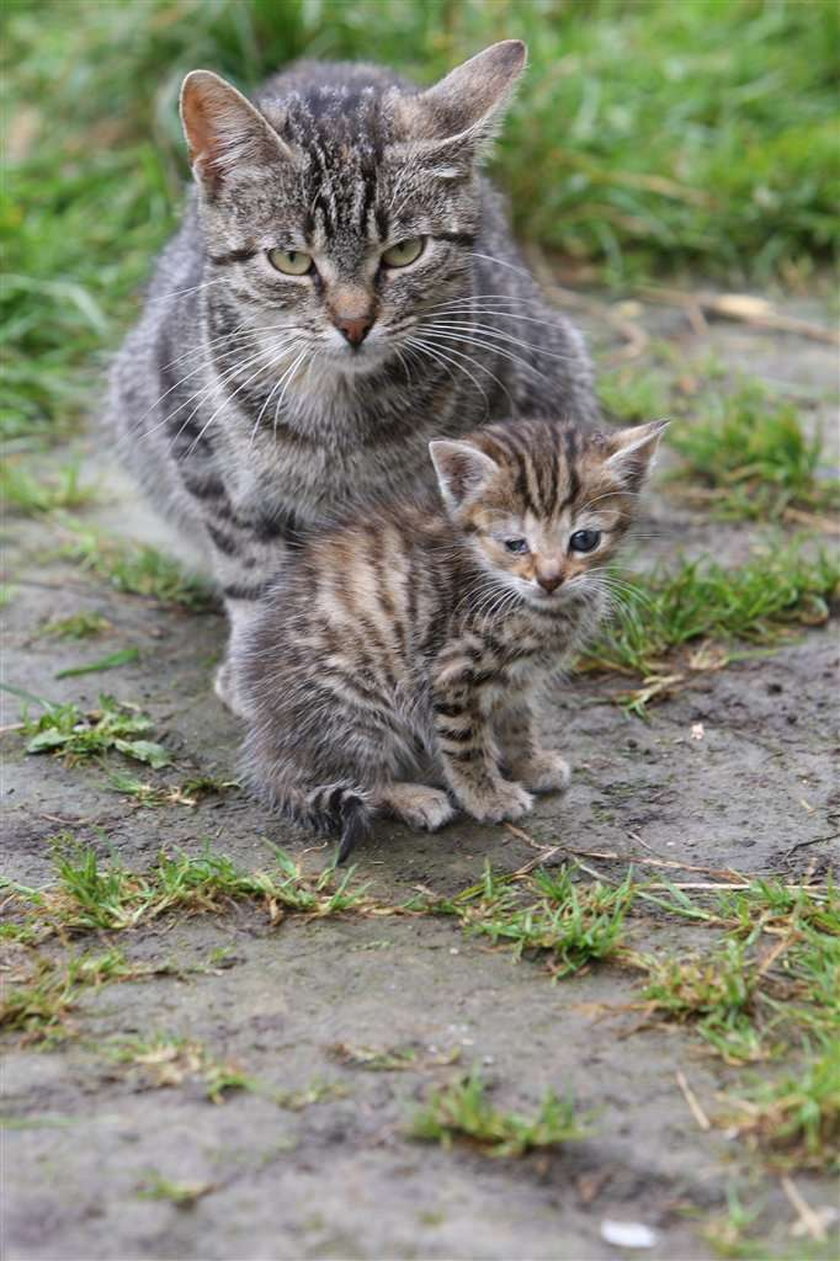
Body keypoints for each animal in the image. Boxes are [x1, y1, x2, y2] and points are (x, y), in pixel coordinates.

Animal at [107, 39, 597, 716]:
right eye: (290, 259)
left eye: (404, 253)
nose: (354, 322)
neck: (338, 415)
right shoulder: (193, 444)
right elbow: (252, 570)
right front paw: (262, 664)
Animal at [233, 418, 660, 862]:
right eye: (515, 545)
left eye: (584, 540)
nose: (550, 579)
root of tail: (270, 749)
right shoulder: (453, 672)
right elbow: (465, 743)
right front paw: (487, 796)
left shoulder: (518, 680)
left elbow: (518, 721)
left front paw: (529, 764)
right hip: (355, 703)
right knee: (364, 780)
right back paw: (415, 798)